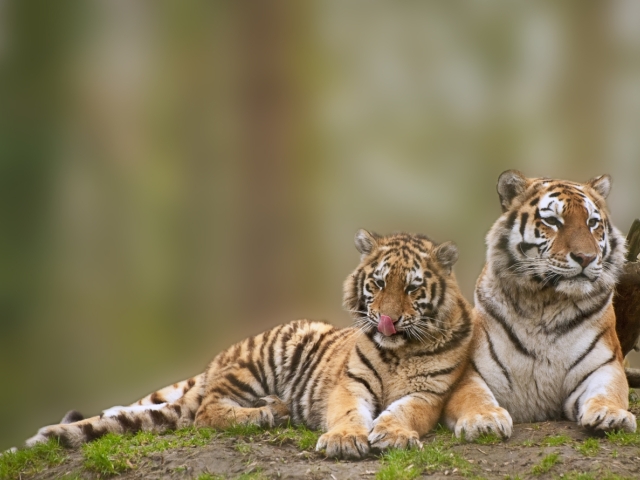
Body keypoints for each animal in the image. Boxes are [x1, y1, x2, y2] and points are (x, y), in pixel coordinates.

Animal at [25, 230, 473, 459]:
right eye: (378, 283)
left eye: (412, 288)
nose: (386, 320)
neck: (400, 350)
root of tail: (219, 359)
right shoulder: (350, 383)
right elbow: (348, 412)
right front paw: (345, 440)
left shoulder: (429, 393)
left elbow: (406, 412)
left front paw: (393, 434)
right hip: (260, 361)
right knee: (204, 413)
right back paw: (265, 413)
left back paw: (272, 409)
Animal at [443, 170, 636, 441]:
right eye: (553, 221)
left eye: (592, 223)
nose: (586, 258)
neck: (546, 302)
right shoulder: (470, 371)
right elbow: (473, 396)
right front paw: (483, 420)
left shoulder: (605, 365)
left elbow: (607, 392)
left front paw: (611, 415)